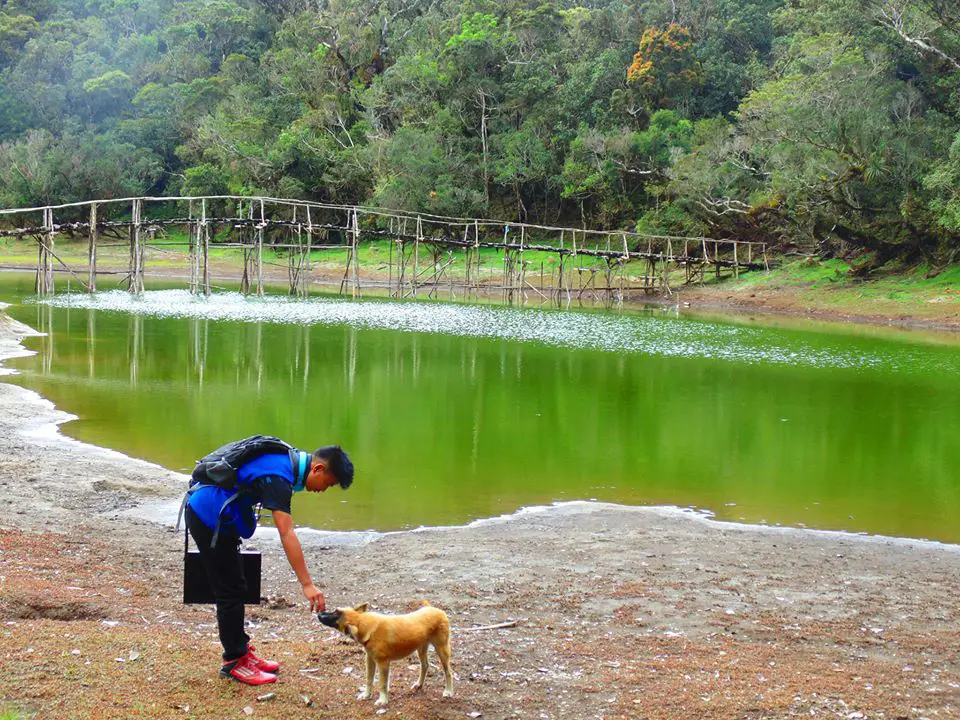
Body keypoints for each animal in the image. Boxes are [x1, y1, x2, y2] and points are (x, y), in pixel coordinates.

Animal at [318, 600, 454, 704]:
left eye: (335, 615)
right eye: (335, 611)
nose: (319, 614)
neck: (363, 623)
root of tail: (436, 609)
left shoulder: (383, 663)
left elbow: (382, 684)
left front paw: (383, 700)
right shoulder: (369, 659)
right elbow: (369, 680)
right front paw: (366, 695)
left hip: (442, 649)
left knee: (448, 672)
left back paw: (448, 691)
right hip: (420, 649)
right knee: (425, 665)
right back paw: (419, 685)